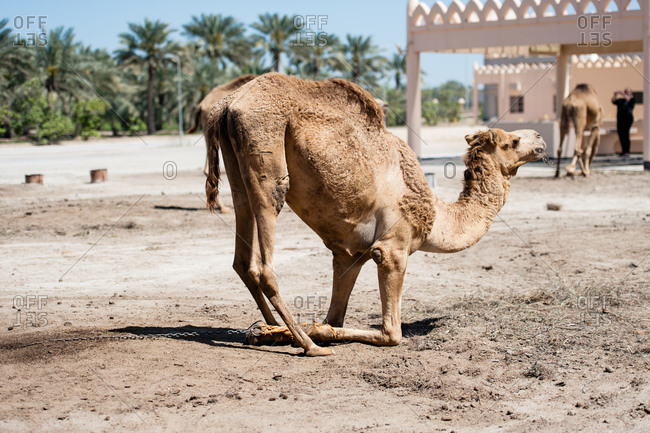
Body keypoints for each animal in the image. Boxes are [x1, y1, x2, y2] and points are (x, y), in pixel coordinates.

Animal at [205, 73, 546, 356]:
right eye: (513, 141)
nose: (540, 138)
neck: (436, 217)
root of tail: (225, 106)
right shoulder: (392, 249)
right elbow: (391, 333)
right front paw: (311, 332)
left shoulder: (350, 254)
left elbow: (335, 317)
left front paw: (282, 331)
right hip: (266, 145)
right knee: (264, 257)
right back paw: (310, 347)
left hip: (237, 165)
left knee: (242, 250)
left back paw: (274, 328)